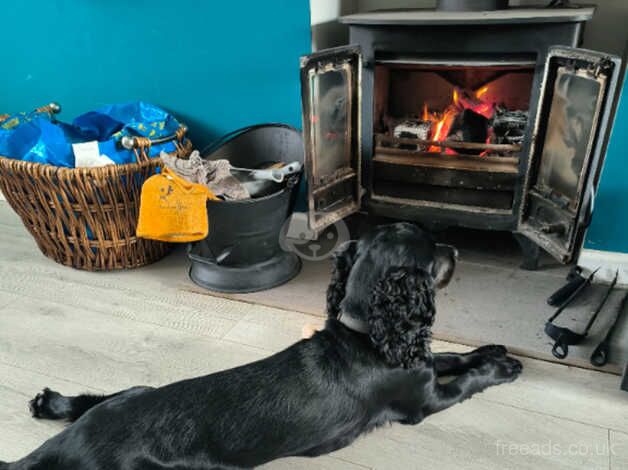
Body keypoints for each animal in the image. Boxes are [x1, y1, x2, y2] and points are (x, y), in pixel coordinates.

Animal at [1, 222, 520, 468]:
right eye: (433, 255)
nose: (456, 251)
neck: (364, 333)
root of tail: (73, 441)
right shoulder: (423, 399)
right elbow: (467, 378)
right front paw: (504, 368)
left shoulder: (421, 364)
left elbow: (452, 356)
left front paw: (493, 350)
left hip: (132, 394)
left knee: (99, 398)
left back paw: (51, 402)